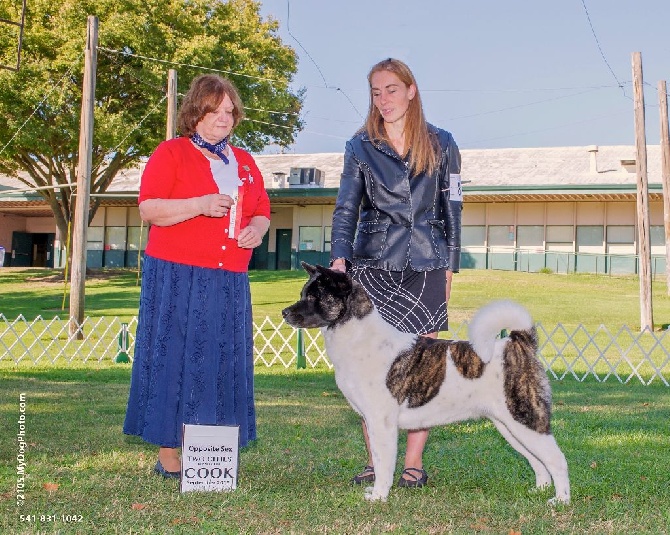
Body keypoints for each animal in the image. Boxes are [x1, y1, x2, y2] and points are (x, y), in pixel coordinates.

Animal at [284, 264, 572, 506]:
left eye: (315, 297)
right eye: (303, 293)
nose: (284, 312)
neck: (358, 337)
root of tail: (519, 343)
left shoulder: (382, 424)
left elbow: (384, 464)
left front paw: (379, 497)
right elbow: (377, 460)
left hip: (526, 419)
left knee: (557, 459)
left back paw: (561, 501)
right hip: (509, 427)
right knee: (538, 461)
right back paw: (539, 490)